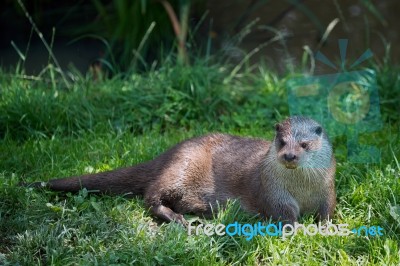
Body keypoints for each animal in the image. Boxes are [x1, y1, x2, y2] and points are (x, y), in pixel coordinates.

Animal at [27, 116, 334, 224]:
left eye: (305, 144)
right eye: (281, 141)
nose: (290, 155)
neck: (303, 190)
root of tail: (168, 153)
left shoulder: (327, 189)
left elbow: (328, 209)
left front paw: (326, 225)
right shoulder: (274, 193)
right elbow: (283, 214)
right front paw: (297, 227)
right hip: (182, 168)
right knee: (150, 197)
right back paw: (177, 218)